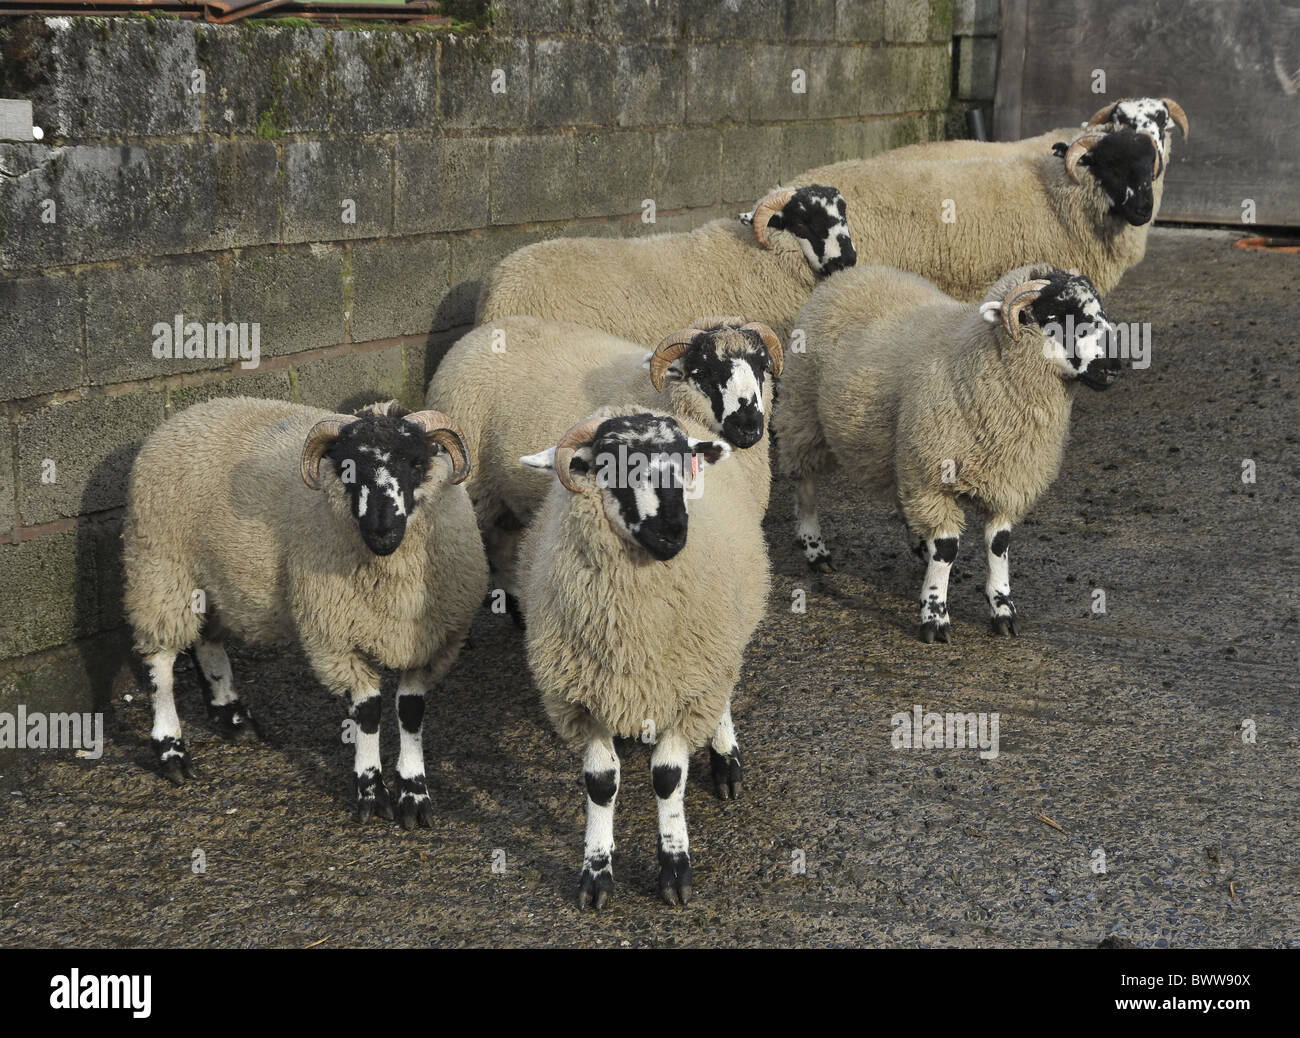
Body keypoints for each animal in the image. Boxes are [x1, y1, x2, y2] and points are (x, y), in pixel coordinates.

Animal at [122, 397, 488, 828]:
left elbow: (410, 711)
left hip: (215, 581)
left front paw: (414, 794)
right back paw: (171, 751)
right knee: (160, 662)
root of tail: (186, 412)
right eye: (346, 467)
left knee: (208, 641)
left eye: (417, 462)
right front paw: (371, 792)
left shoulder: (432, 642)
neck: (393, 580)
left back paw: (233, 718)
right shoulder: (336, 638)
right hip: (161, 570)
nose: (381, 530)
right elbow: (368, 712)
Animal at [425, 316, 782, 610]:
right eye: (702, 372)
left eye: (761, 366)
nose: (748, 426)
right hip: (478, 488)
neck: (657, 396)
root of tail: (475, 334)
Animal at [515, 406, 770, 908]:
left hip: (721, 643)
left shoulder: (687, 682)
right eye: (610, 464)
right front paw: (596, 872)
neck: (635, 636)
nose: (672, 532)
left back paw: (725, 758)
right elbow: (601, 783)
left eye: (685, 460)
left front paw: (674, 867)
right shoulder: (579, 699)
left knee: (723, 694)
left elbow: (668, 778)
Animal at [774, 263, 1124, 643]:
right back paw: (815, 550)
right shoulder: (933, 479)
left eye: (1100, 310)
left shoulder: (1007, 480)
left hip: (900, 449)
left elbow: (999, 545)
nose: (1114, 365)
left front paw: (1003, 610)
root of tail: (849, 271)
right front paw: (934, 617)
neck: (973, 367)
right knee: (806, 483)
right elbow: (946, 549)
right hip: (803, 412)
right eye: (1057, 315)